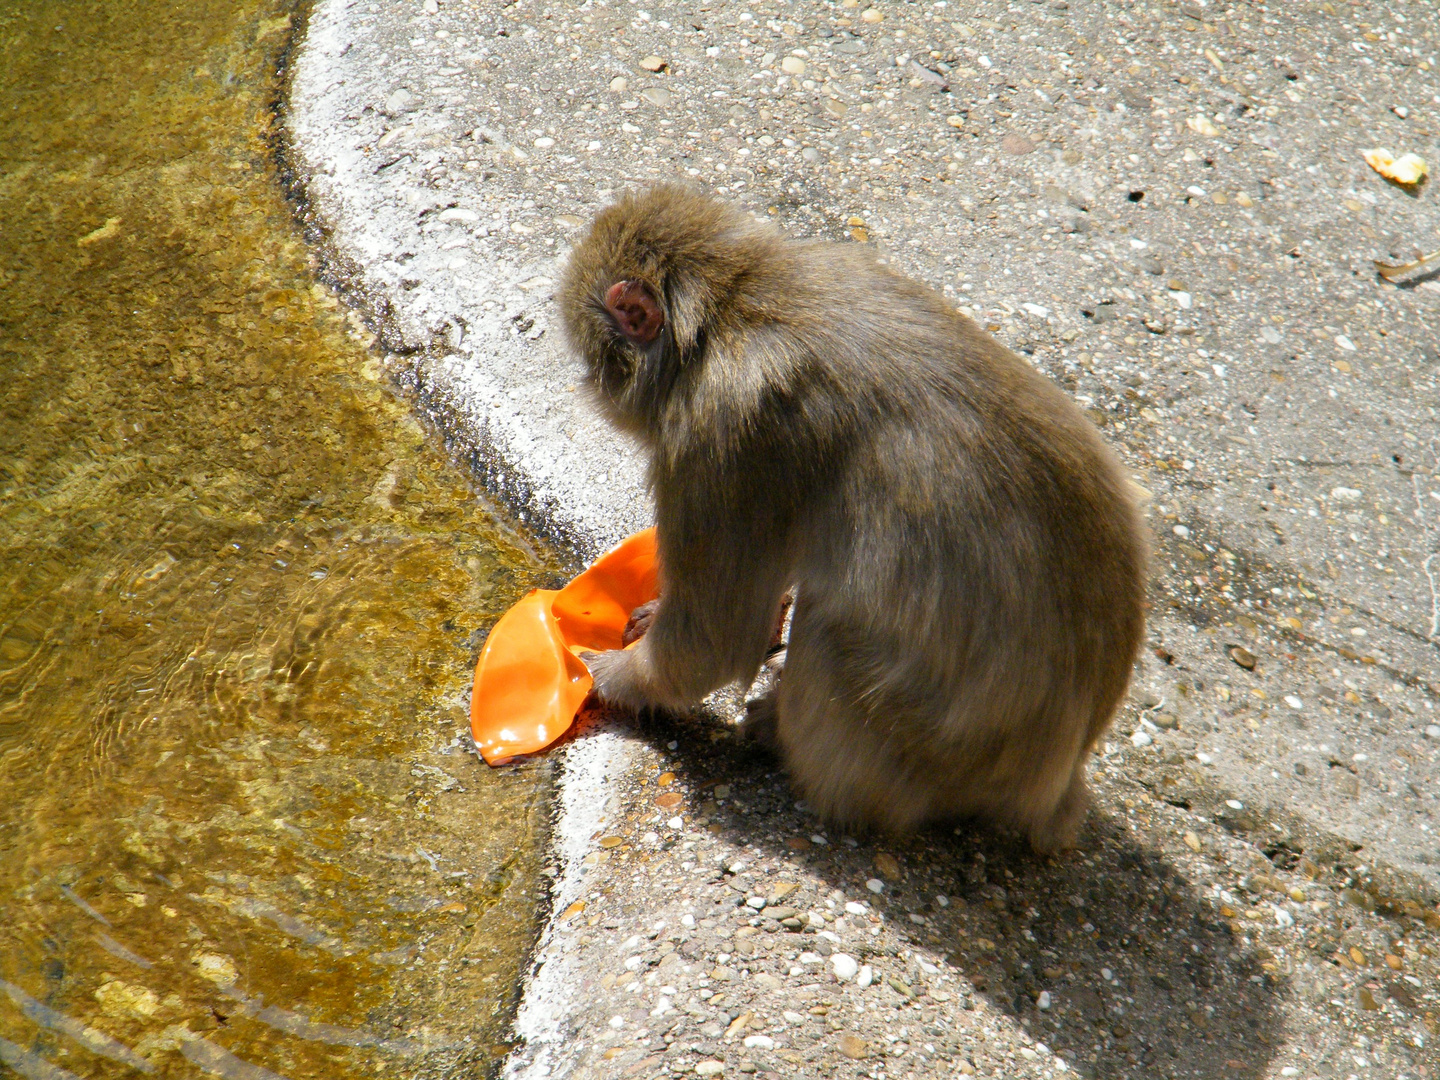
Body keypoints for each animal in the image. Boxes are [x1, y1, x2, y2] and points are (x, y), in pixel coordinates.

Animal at [558, 188, 1146, 864]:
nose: (589, 386)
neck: (735, 309)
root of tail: (1054, 785)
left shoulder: (726, 440)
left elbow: (714, 640)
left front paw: (612, 676)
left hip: (914, 754)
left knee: (832, 631)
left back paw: (783, 740)